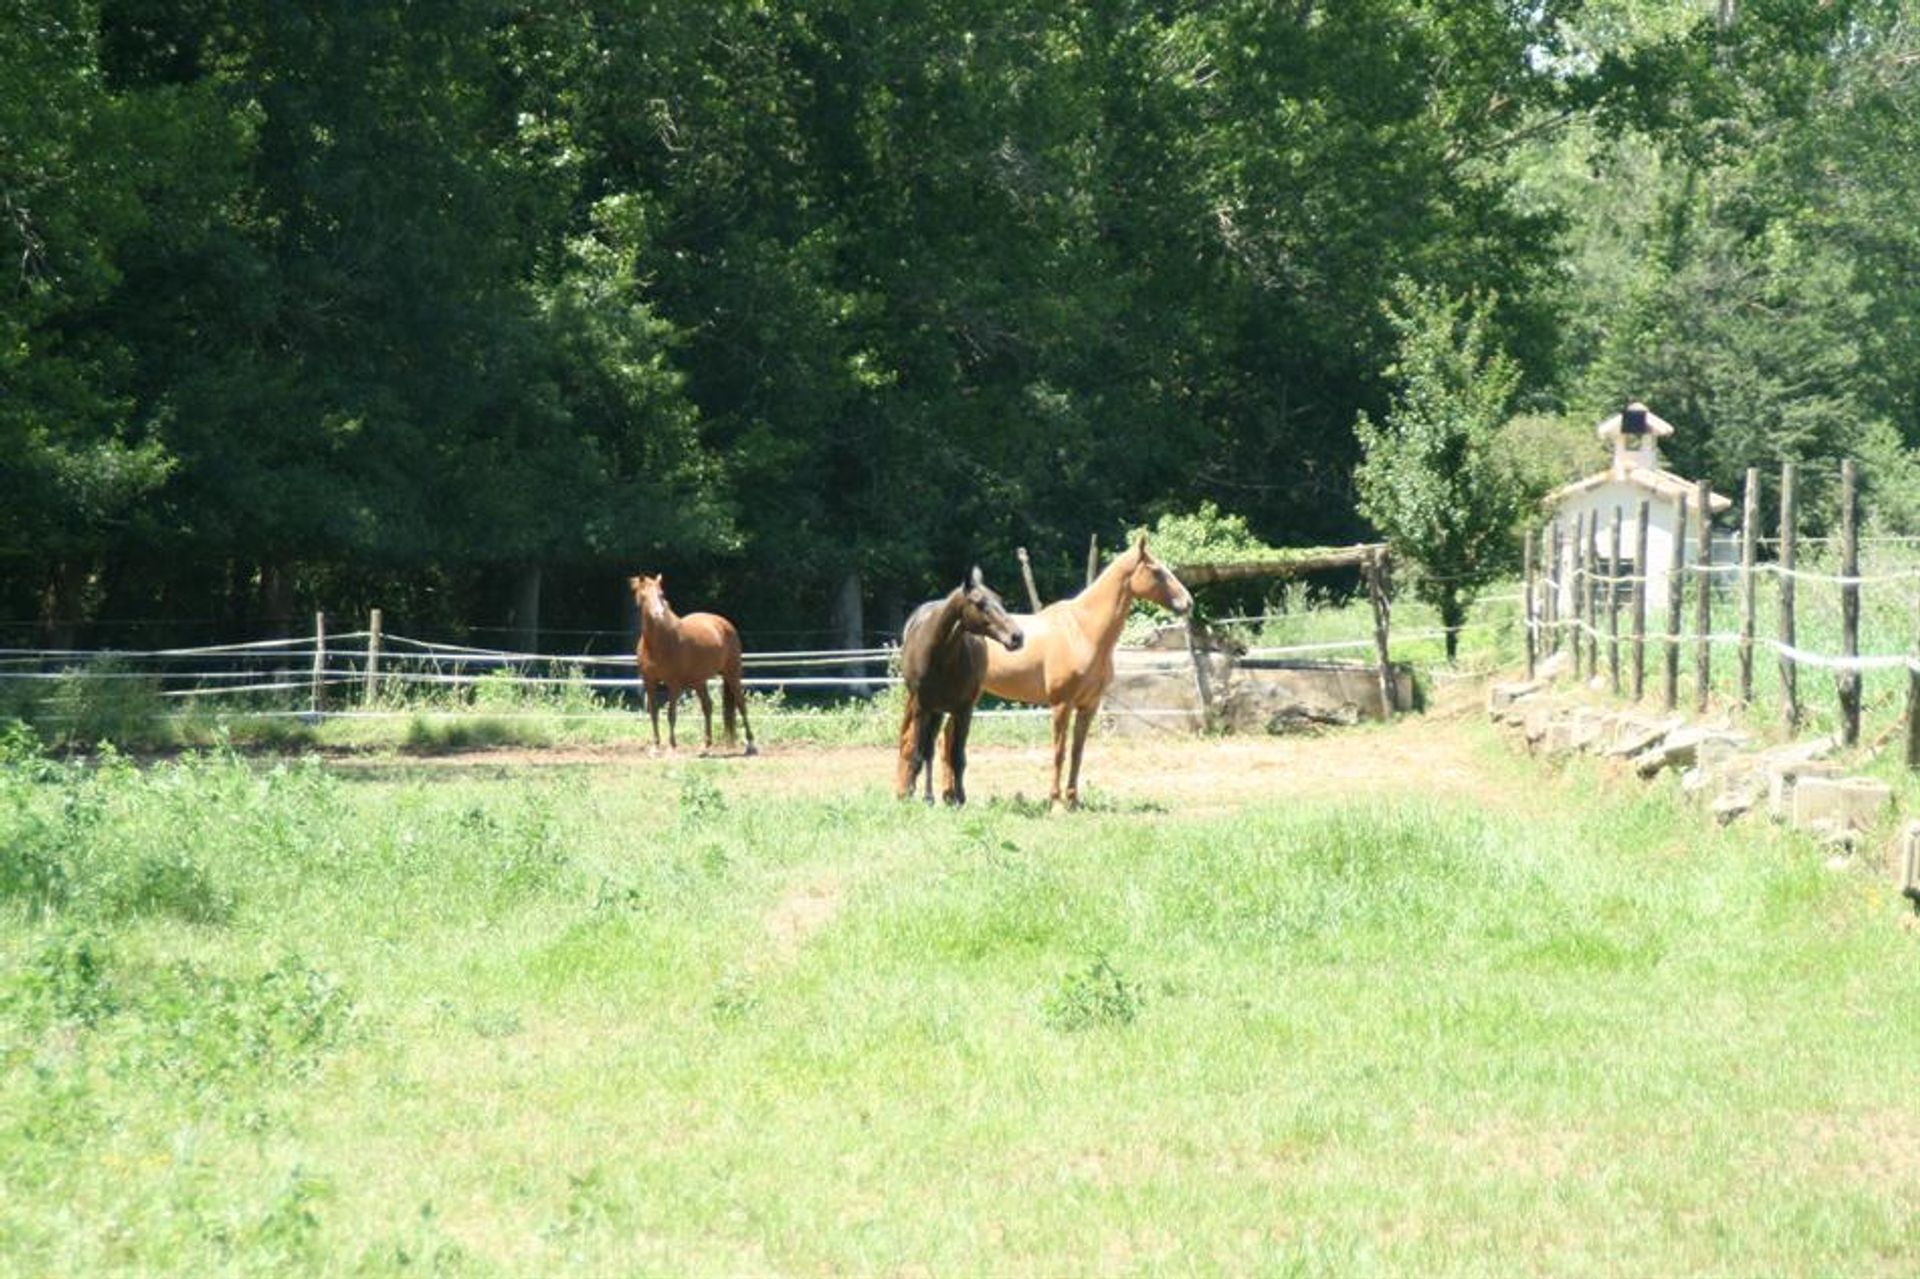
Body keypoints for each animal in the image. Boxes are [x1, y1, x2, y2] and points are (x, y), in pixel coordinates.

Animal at [625, 572, 752, 752]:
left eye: (661, 594)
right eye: (643, 596)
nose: (658, 614)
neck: (658, 643)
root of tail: (725, 624)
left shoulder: (674, 684)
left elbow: (671, 713)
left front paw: (672, 745)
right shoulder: (649, 682)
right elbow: (654, 713)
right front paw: (656, 746)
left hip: (732, 674)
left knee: (741, 704)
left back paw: (750, 743)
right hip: (699, 681)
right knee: (707, 706)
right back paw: (706, 745)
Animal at [894, 564, 1021, 802]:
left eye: (1000, 600)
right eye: (980, 603)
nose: (1017, 637)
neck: (939, 656)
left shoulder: (963, 710)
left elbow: (958, 756)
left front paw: (959, 798)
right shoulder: (921, 707)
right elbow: (918, 753)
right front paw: (915, 794)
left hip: (943, 711)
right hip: (932, 710)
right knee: (927, 750)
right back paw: (928, 796)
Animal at [983, 537, 1190, 806]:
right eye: (1156, 571)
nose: (1188, 603)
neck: (1082, 630)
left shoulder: (1089, 705)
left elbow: (1077, 753)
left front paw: (1073, 801)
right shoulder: (1061, 704)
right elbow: (1059, 752)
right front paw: (1056, 802)